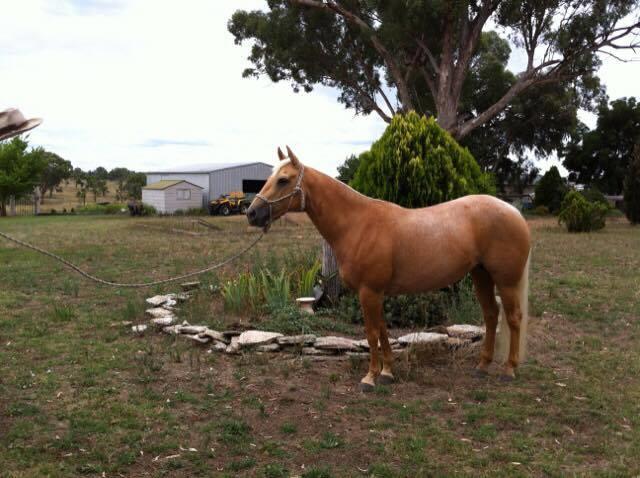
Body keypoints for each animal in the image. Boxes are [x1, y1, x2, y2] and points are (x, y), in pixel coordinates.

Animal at [247, 146, 531, 391]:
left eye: (283, 180)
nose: (252, 213)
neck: (358, 224)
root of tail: (514, 211)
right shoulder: (376, 292)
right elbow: (383, 329)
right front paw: (387, 373)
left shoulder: (369, 291)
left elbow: (372, 332)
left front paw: (370, 377)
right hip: (481, 274)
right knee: (491, 315)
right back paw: (482, 366)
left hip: (505, 279)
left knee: (513, 317)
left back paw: (509, 370)